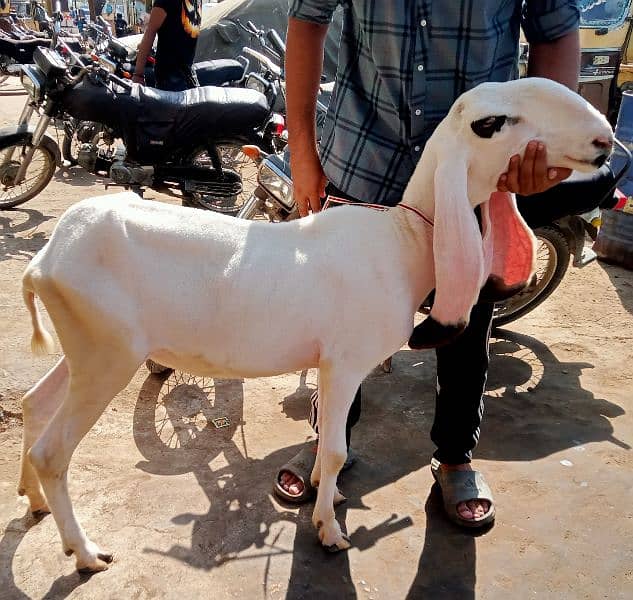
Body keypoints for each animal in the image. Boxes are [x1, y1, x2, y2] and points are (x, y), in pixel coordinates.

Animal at [19, 77, 612, 568]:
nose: (604, 141)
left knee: (33, 403)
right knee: (53, 451)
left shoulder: (330, 365)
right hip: (107, 356)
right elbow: (334, 448)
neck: (402, 241)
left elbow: (331, 442)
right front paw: (328, 529)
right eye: (490, 123)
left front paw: (331, 498)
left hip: (86, 349)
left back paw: (32, 501)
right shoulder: (344, 363)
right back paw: (85, 553)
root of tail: (44, 260)